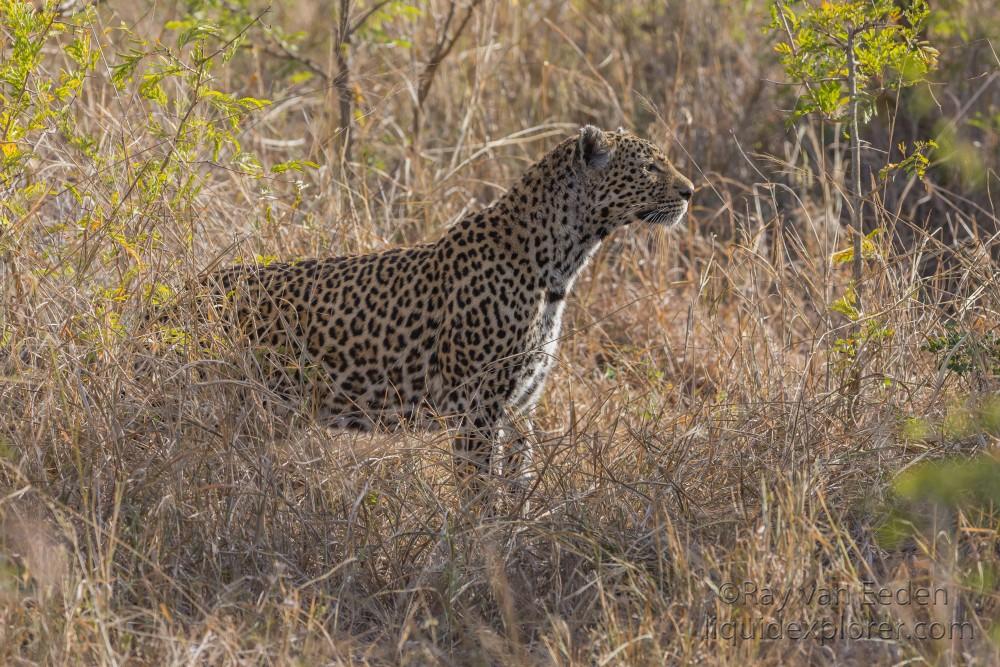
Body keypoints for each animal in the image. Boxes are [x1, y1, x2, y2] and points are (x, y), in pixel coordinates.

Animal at [207, 125, 692, 494]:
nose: (691, 191)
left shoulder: (521, 406)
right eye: (650, 167)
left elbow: (519, 480)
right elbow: (478, 489)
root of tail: (191, 288)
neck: (561, 264)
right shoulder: (476, 407)